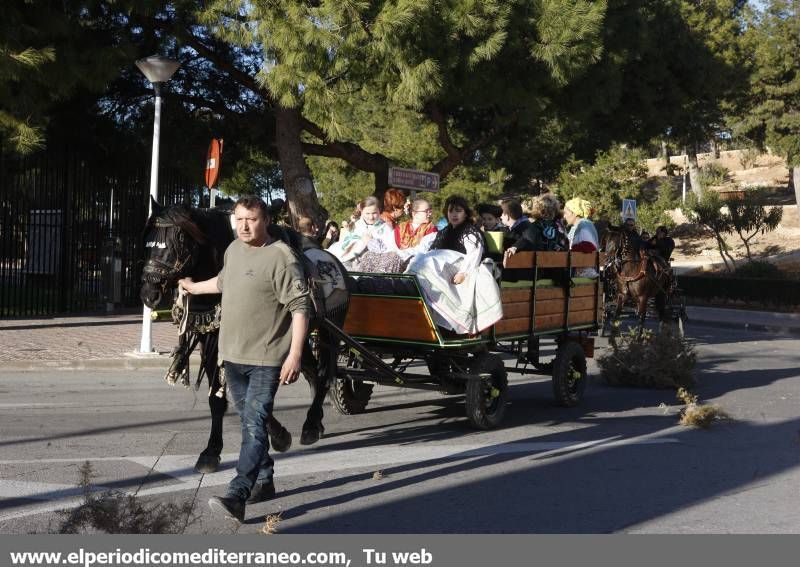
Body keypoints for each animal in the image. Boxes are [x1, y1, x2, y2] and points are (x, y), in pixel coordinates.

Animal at [141, 200, 346, 474]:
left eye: (180, 239)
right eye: (149, 239)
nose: (149, 293)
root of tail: (334, 260)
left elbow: (251, 397)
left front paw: (278, 436)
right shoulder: (214, 342)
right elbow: (223, 399)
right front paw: (211, 451)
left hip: (330, 332)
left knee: (324, 373)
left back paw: (312, 424)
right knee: (313, 372)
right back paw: (316, 422)